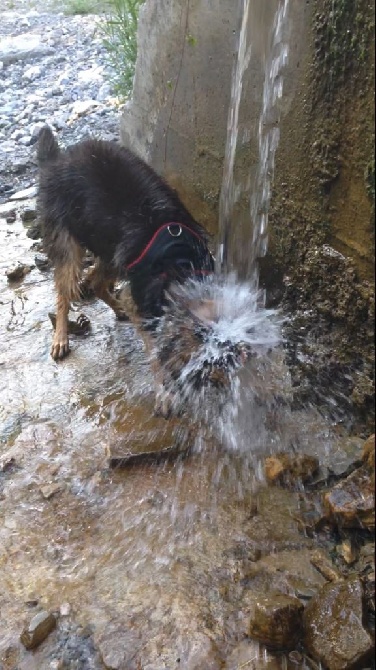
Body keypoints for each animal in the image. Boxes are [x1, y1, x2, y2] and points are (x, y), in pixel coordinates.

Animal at [36, 125, 222, 412]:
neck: (179, 261)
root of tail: (59, 159)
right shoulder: (145, 301)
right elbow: (157, 352)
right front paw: (166, 391)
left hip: (109, 247)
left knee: (95, 282)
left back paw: (117, 308)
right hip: (68, 241)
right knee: (65, 290)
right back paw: (61, 337)